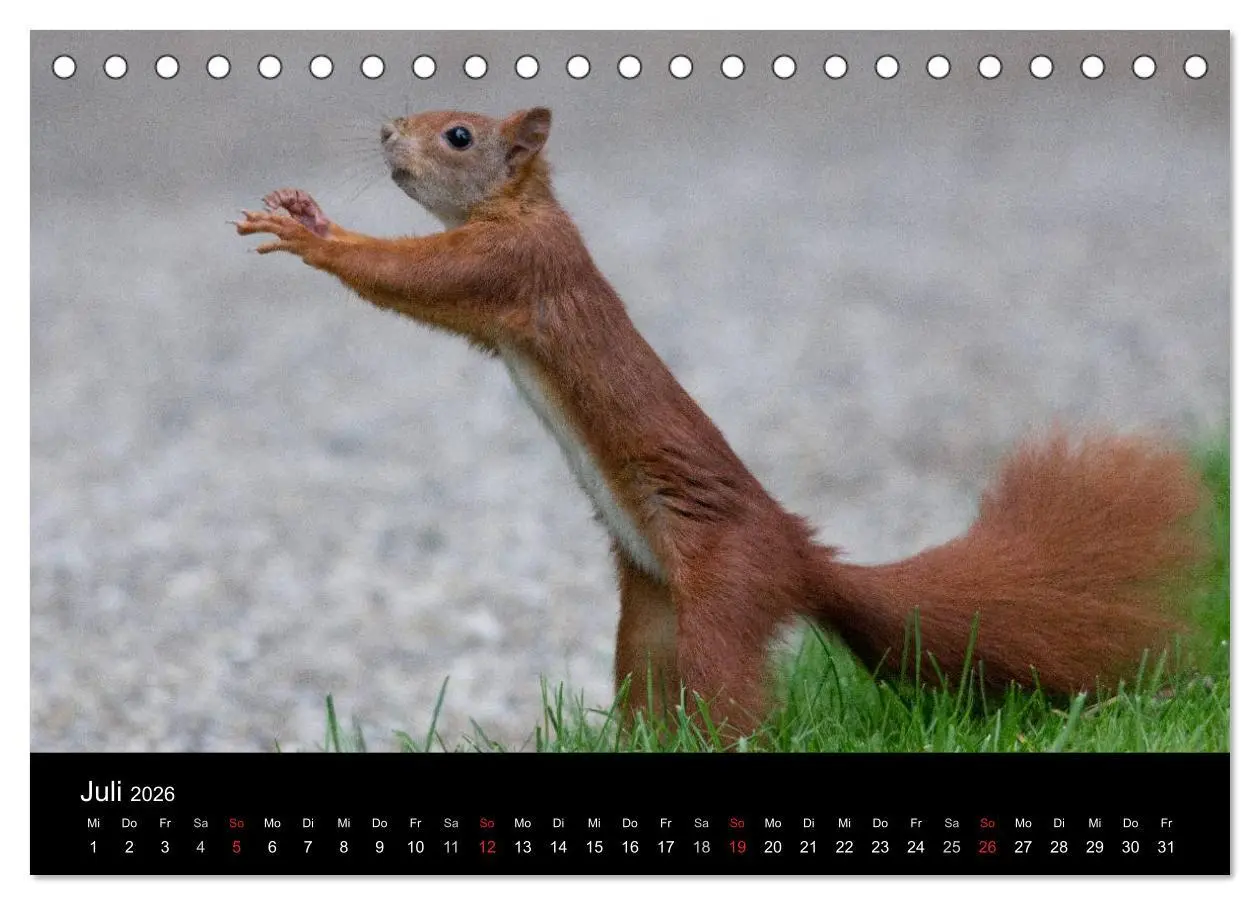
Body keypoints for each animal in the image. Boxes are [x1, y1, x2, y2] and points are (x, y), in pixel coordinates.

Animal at [235, 107, 1208, 739]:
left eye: (460, 135)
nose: (385, 133)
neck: (522, 206)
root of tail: (801, 557)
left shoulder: (513, 264)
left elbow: (411, 275)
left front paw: (313, 232)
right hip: (649, 616)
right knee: (648, 693)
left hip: (722, 600)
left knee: (732, 709)